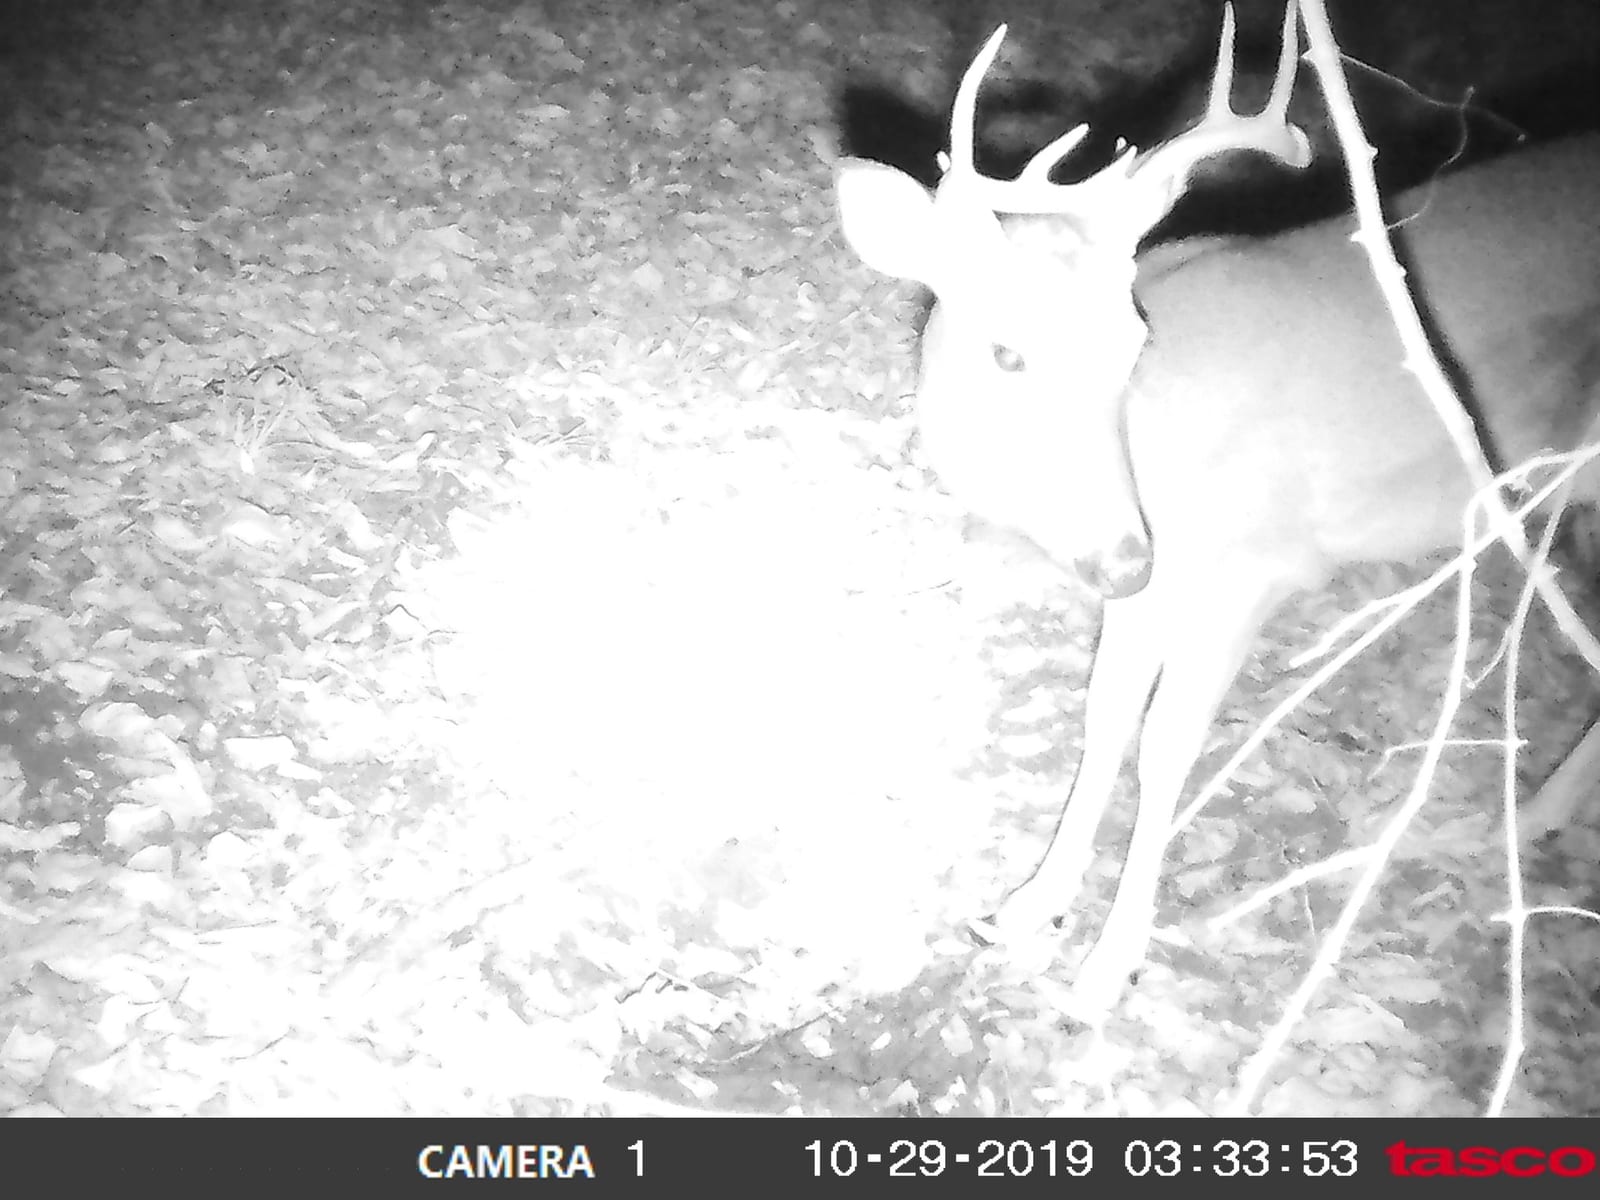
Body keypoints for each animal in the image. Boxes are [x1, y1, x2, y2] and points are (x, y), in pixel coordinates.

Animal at [836, 1, 1600, 1019]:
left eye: (1132, 344)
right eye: (1007, 352)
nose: (1125, 555)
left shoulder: (1256, 566)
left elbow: (1164, 749)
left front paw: (1105, 969)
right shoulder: (1150, 586)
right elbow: (1104, 719)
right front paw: (1028, 906)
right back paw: (1540, 815)